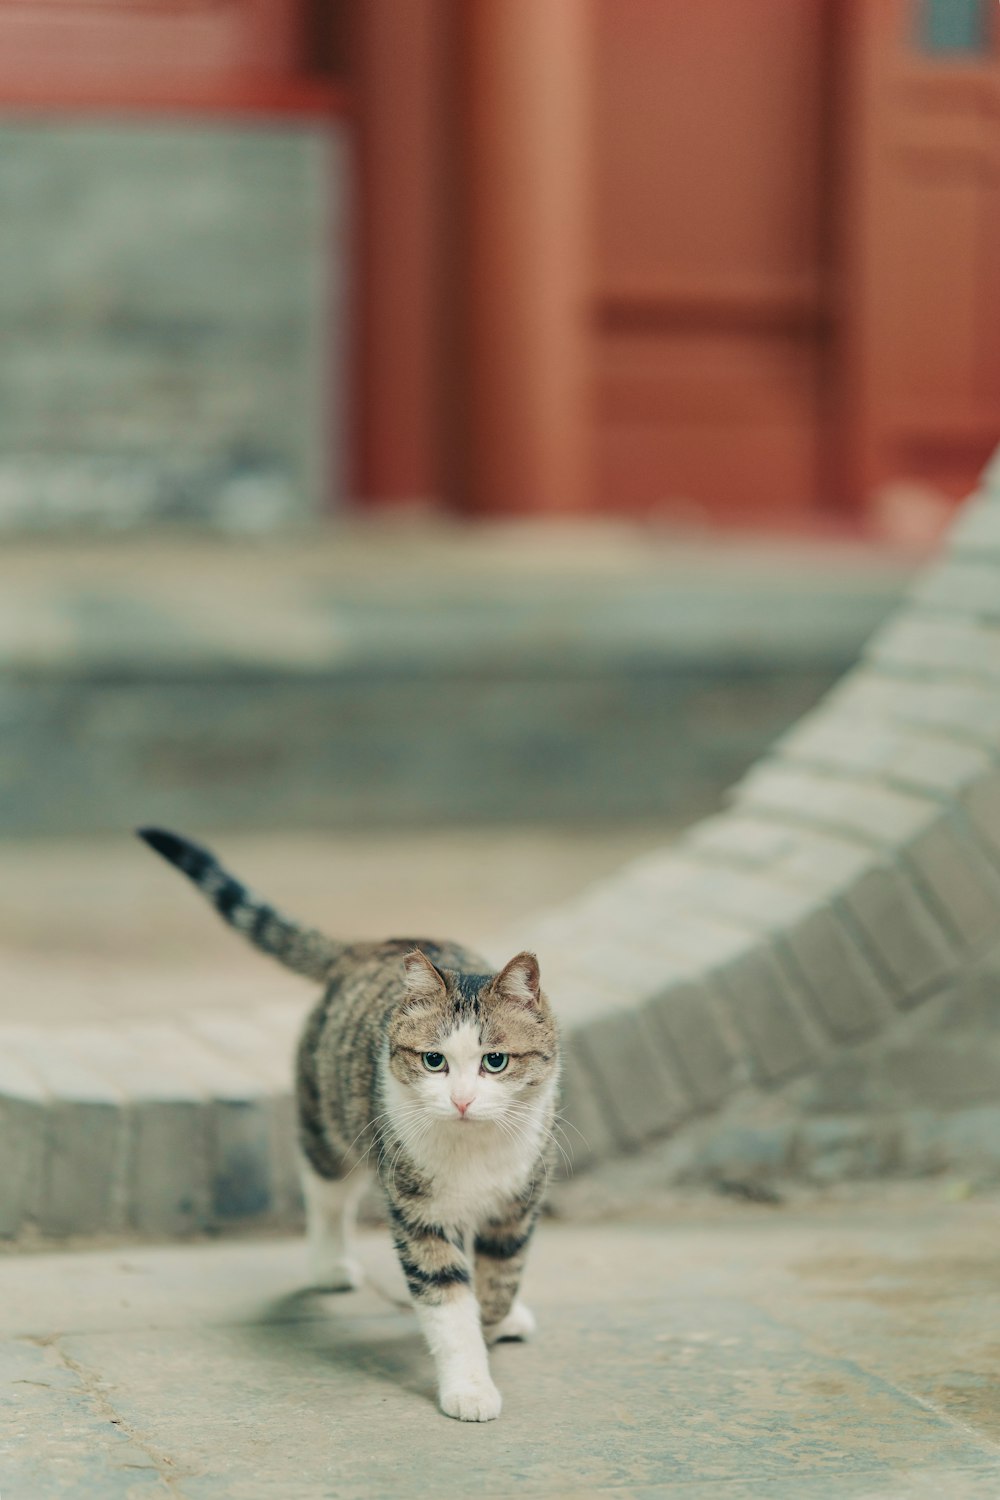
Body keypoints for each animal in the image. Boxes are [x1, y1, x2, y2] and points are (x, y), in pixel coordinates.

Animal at [138, 828, 563, 1422]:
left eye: (495, 1061)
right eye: (434, 1061)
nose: (460, 1100)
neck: (470, 1148)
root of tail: (371, 945)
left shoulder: (520, 1199)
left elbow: (502, 1274)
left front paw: (497, 1317)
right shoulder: (418, 1212)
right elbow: (447, 1297)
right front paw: (469, 1385)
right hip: (330, 1125)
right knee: (326, 1193)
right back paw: (329, 1265)